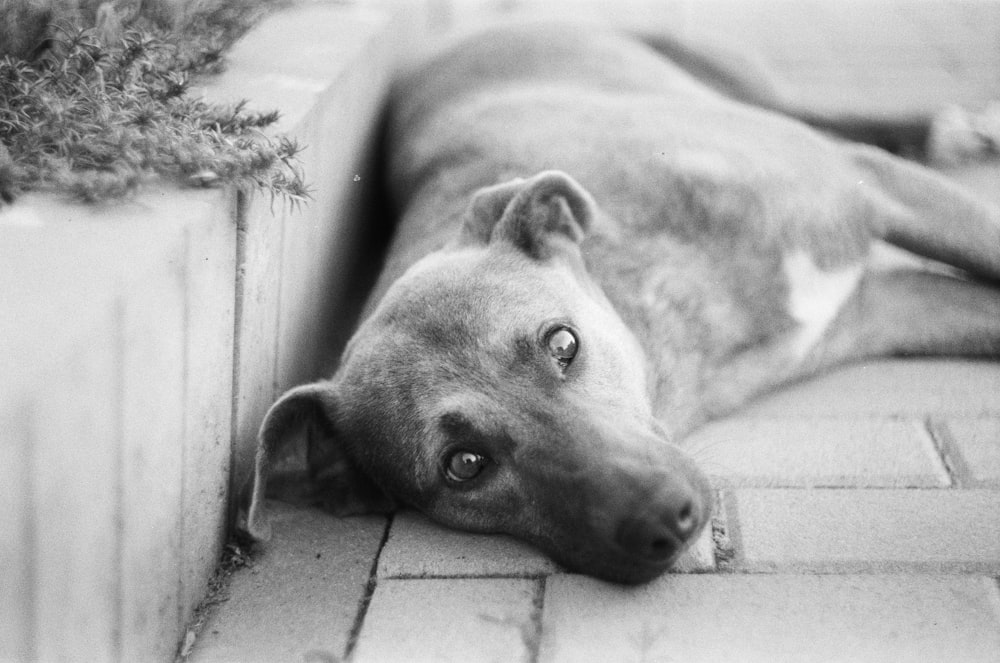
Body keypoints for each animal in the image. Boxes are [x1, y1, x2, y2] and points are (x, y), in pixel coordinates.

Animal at [240, 20, 1000, 584]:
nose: (665, 518)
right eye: (464, 465)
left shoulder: (874, 189)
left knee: (824, 115)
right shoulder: (895, 307)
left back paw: (947, 130)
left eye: (563, 343)